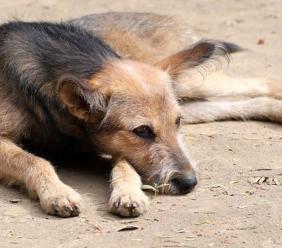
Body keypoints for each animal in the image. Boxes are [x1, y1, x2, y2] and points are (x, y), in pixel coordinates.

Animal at [0, 11, 280, 218]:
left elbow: (125, 164)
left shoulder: (110, 145)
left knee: (264, 82)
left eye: (176, 123)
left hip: (193, 85)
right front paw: (58, 192)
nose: (190, 183)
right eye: (143, 131)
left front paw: (128, 193)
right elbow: (34, 161)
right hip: (192, 97)